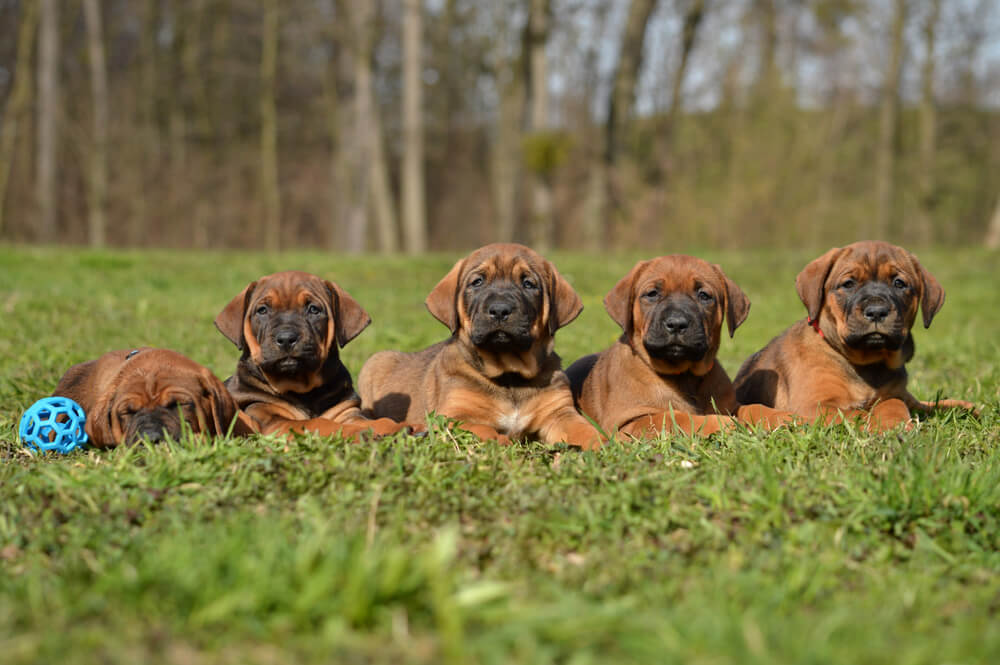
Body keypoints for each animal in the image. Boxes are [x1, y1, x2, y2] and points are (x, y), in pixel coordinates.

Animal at [217, 270, 416, 440]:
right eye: (262, 310)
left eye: (313, 309)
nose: (286, 338)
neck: (304, 390)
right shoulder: (270, 417)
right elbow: (319, 422)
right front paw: (357, 433)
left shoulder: (347, 412)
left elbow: (378, 421)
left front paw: (396, 427)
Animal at [358, 241, 600, 448]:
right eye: (477, 282)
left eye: (528, 284)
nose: (500, 310)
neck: (510, 377)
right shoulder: (453, 415)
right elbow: (484, 430)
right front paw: (504, 444)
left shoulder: (560, 413)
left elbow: (586, 431)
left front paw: (603, 447)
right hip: (376, 361)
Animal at [568, 253, 792, 436]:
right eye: (652, 294)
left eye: (704, 295)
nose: (676, 323)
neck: (684, 376)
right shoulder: (628, 423)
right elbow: (675, 417)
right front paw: (723, 424)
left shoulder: (731, 406)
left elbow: (755, 407)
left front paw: (786, 417)